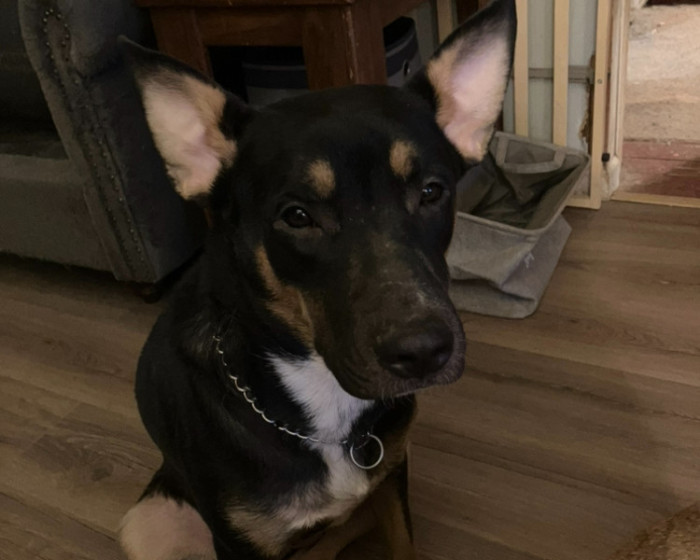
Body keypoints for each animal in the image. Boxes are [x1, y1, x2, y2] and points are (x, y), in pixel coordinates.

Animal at [119, 1, 515, 558]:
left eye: (432, 191)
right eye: (297, 216)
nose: (422, 352)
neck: (320, 396)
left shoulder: (391, 480)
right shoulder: (240, 542)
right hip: (146, 522)